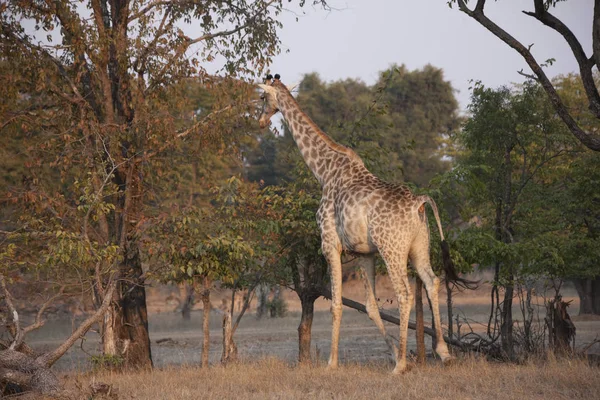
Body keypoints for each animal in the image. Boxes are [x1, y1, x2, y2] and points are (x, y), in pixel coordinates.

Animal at [256, 74, 460, 372]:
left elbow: (336, 304)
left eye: (262, 97)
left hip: (392, 249)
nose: (260, 120)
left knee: (405, 293)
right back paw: (443, 353)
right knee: (432, 281)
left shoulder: (330, 244)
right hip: (419, 246)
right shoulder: (364, 252)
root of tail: (419, 203)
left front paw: (332, 363)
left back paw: (401, 366)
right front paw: (391, 351)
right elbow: (370, 306)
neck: (324, 171)